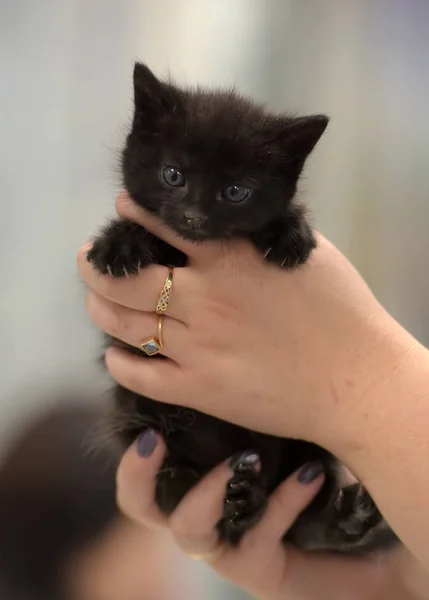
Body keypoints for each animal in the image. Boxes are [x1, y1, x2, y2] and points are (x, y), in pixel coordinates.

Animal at [88, 61, 398, 552]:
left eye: (236, 191)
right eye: (173, 174)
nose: (193, 217)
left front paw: (291, 231)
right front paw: (121, 242)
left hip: (308, 448)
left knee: (299, 519)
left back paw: (327, 517)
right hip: (138, 421)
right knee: (176, 489)